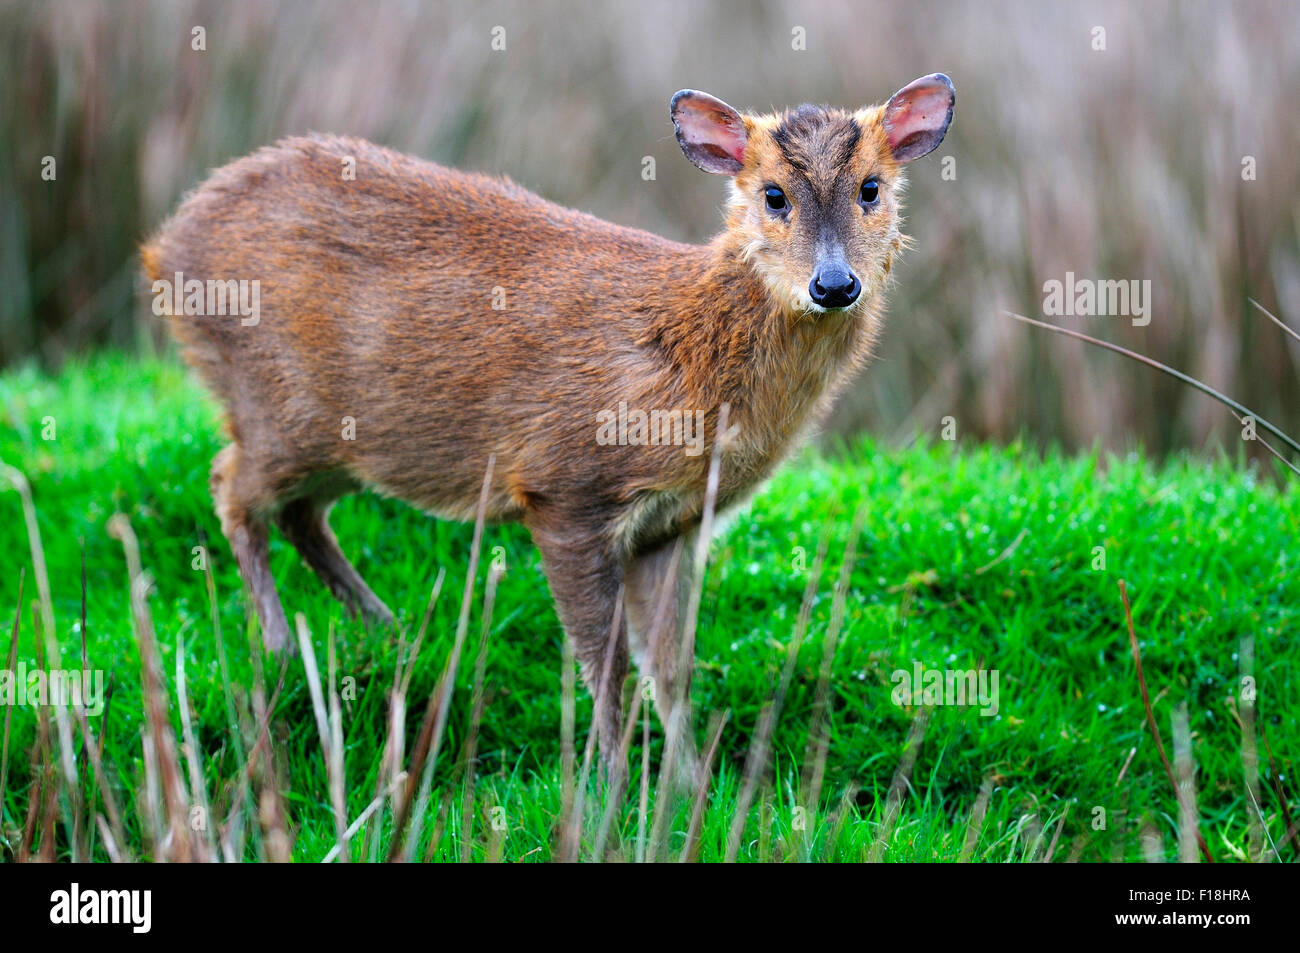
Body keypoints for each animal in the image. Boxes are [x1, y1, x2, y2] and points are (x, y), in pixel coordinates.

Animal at [142, 74, 956, 764]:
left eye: (871, 189)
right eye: (774, 195)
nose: (834, 284)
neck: (688, 359)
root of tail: (163, 247)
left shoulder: (671, 523)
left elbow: (671, 666)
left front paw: (690, 787)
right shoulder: (564, 485)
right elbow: (605, 660)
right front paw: (609, 786)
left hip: (347, 440)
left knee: (299, 512)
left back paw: (387, 629)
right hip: (277, 403)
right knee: (231, 486)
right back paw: (284, 648)